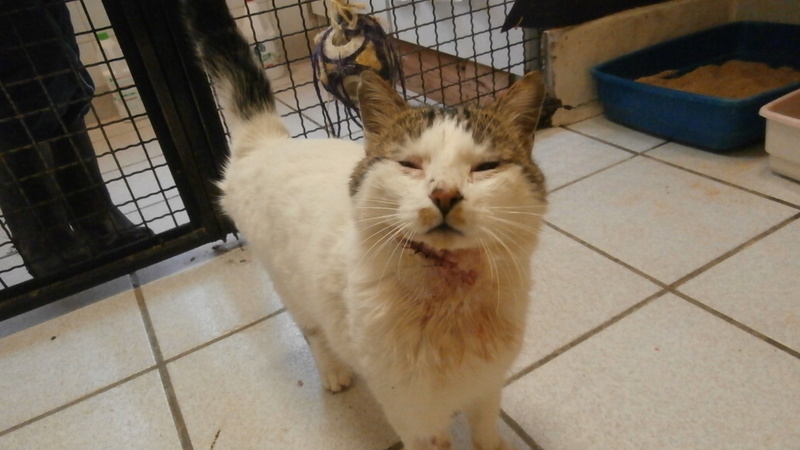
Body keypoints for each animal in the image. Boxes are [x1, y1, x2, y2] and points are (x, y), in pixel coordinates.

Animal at [184, 1, 548, 448]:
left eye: (486, 167)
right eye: (410, 164)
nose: (444, 195)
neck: (450, 296)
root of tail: (268, 142)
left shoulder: (487, 387)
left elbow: (486, 432)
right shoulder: (416, 417)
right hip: (289, 286)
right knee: (312, 331)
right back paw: (334, 373)